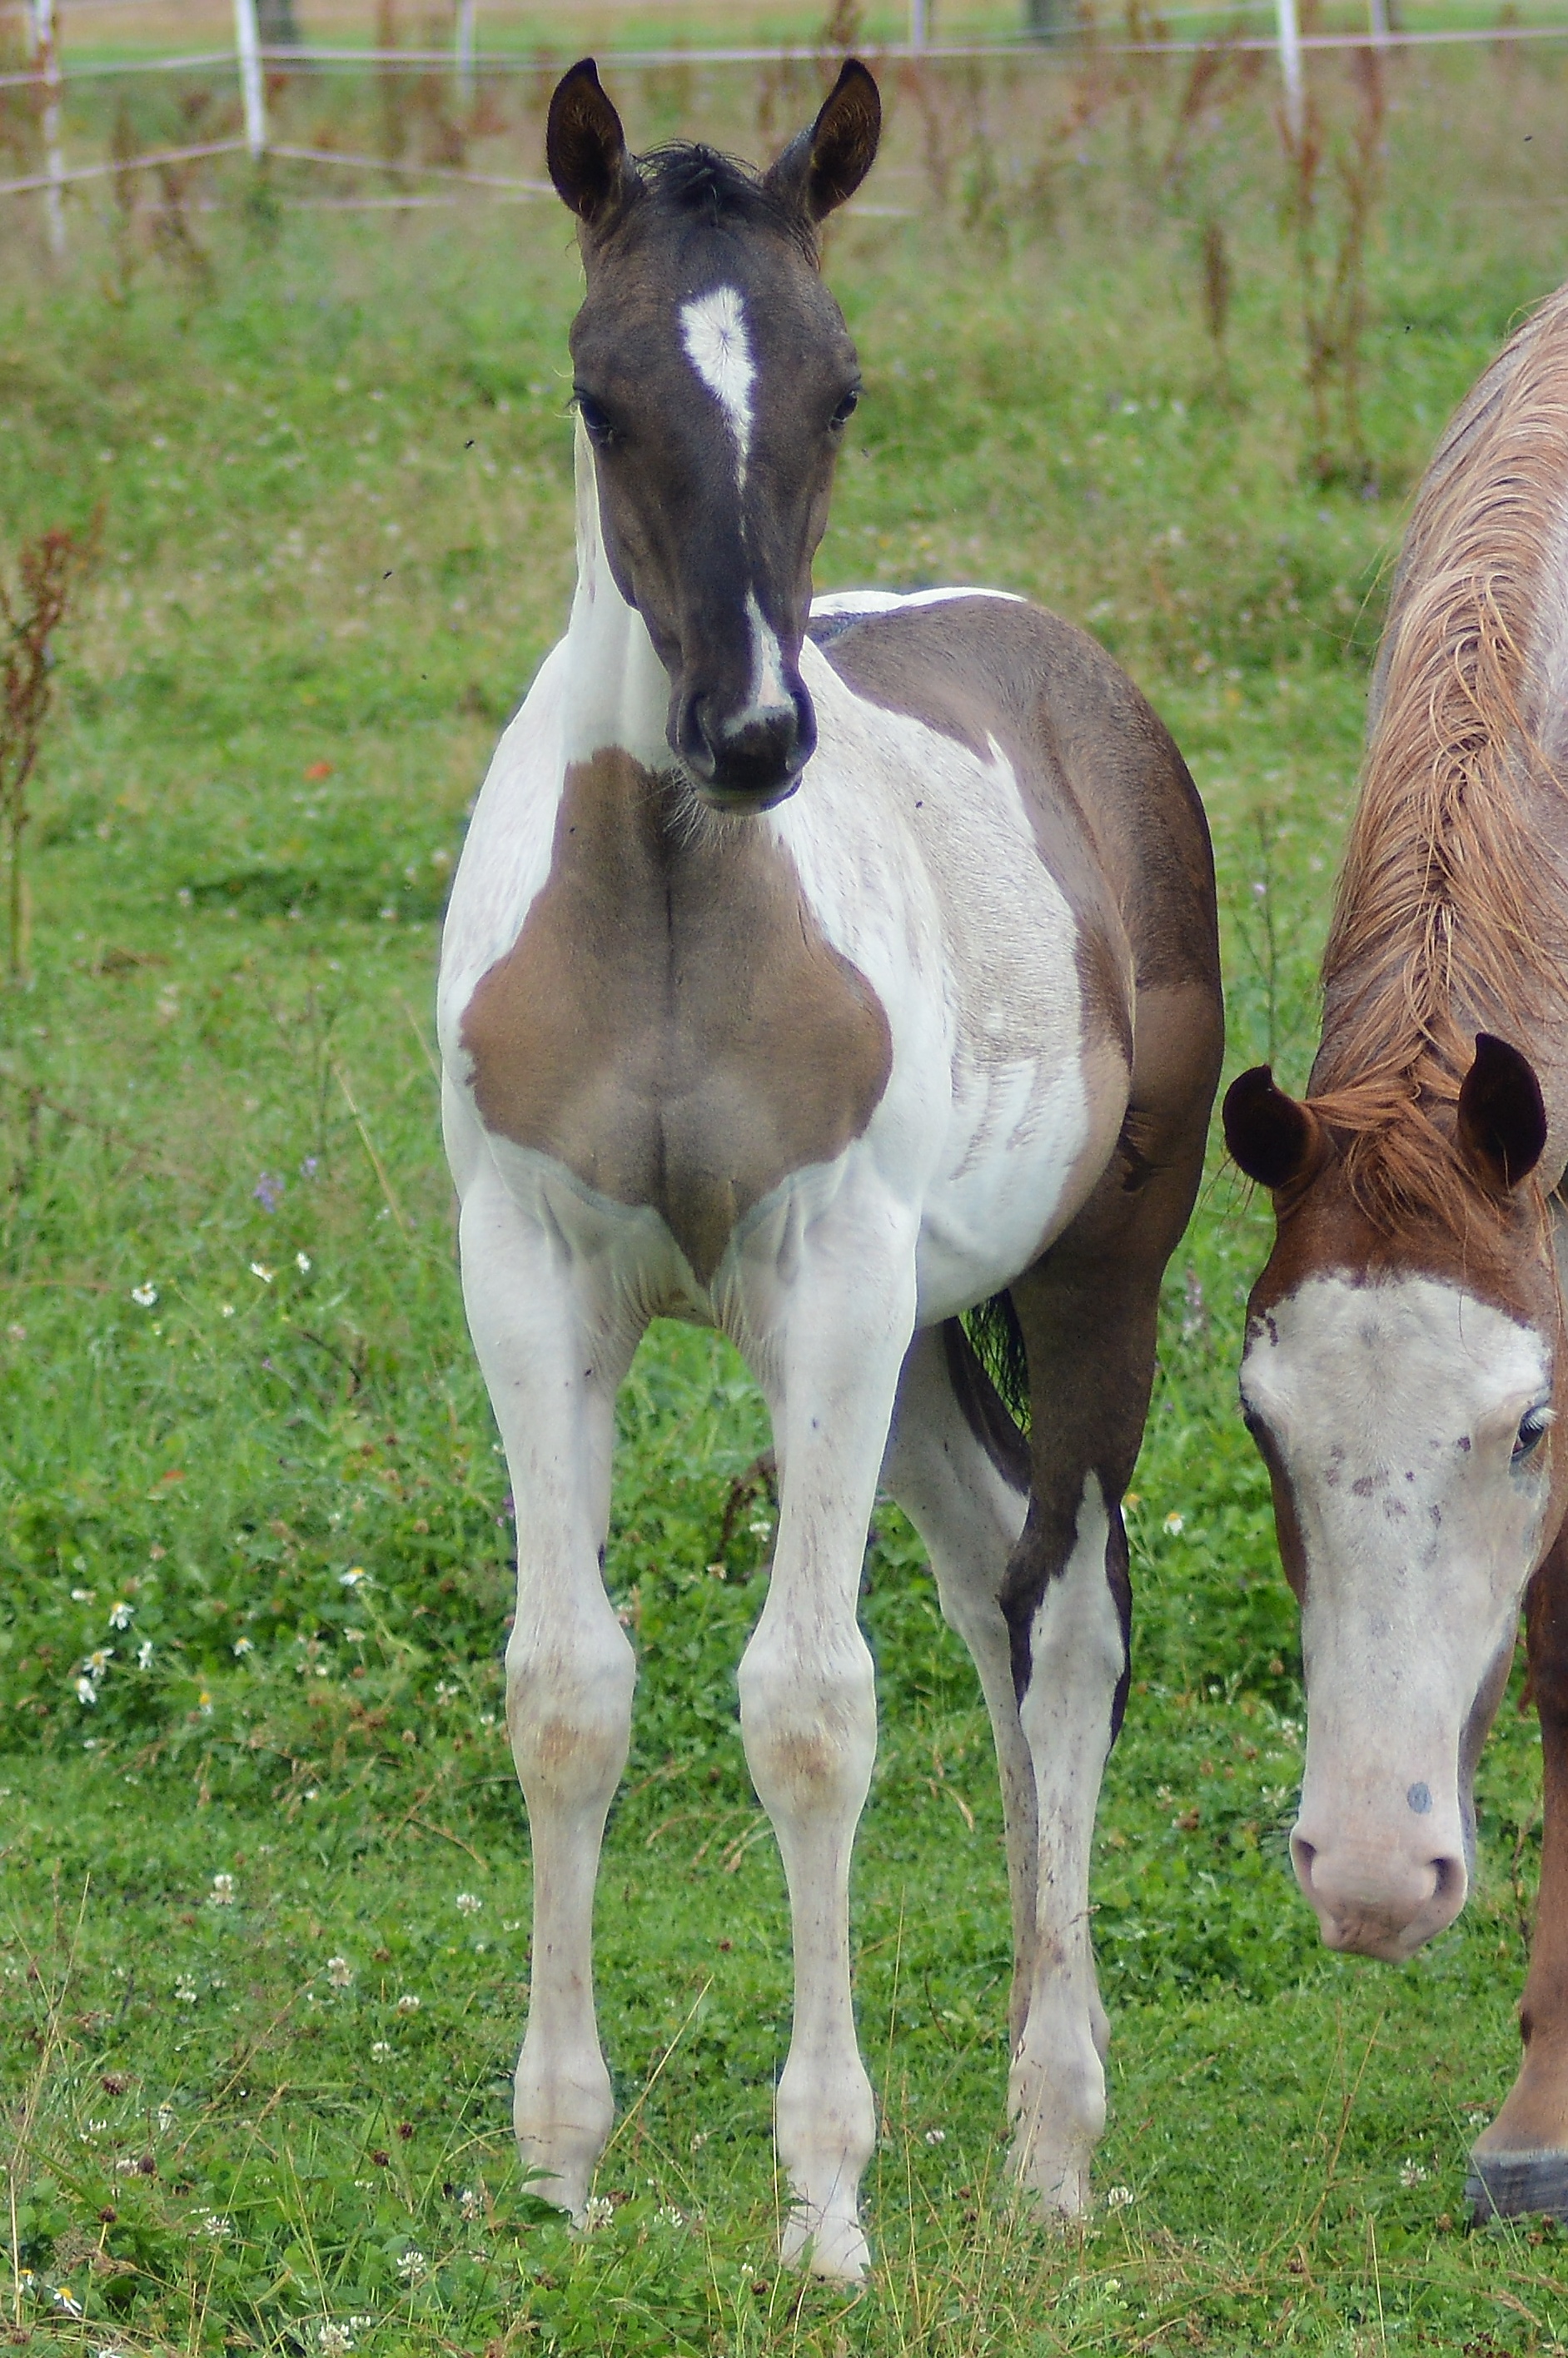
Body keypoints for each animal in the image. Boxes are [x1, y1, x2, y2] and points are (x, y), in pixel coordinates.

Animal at [436, 59, 1226, 2282]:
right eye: (599, 389)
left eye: (842, 385)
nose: (753, 734)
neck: (674, 905)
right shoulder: (529, 1274)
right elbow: (565, 1688)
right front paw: (560, 2161)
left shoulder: (834, 1281)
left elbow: (806, 1705)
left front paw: (826, 2194)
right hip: (943, 1326)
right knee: (986, 1588)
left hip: (1082, 1280)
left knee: (1066, 1621)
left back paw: (1051, 2136)